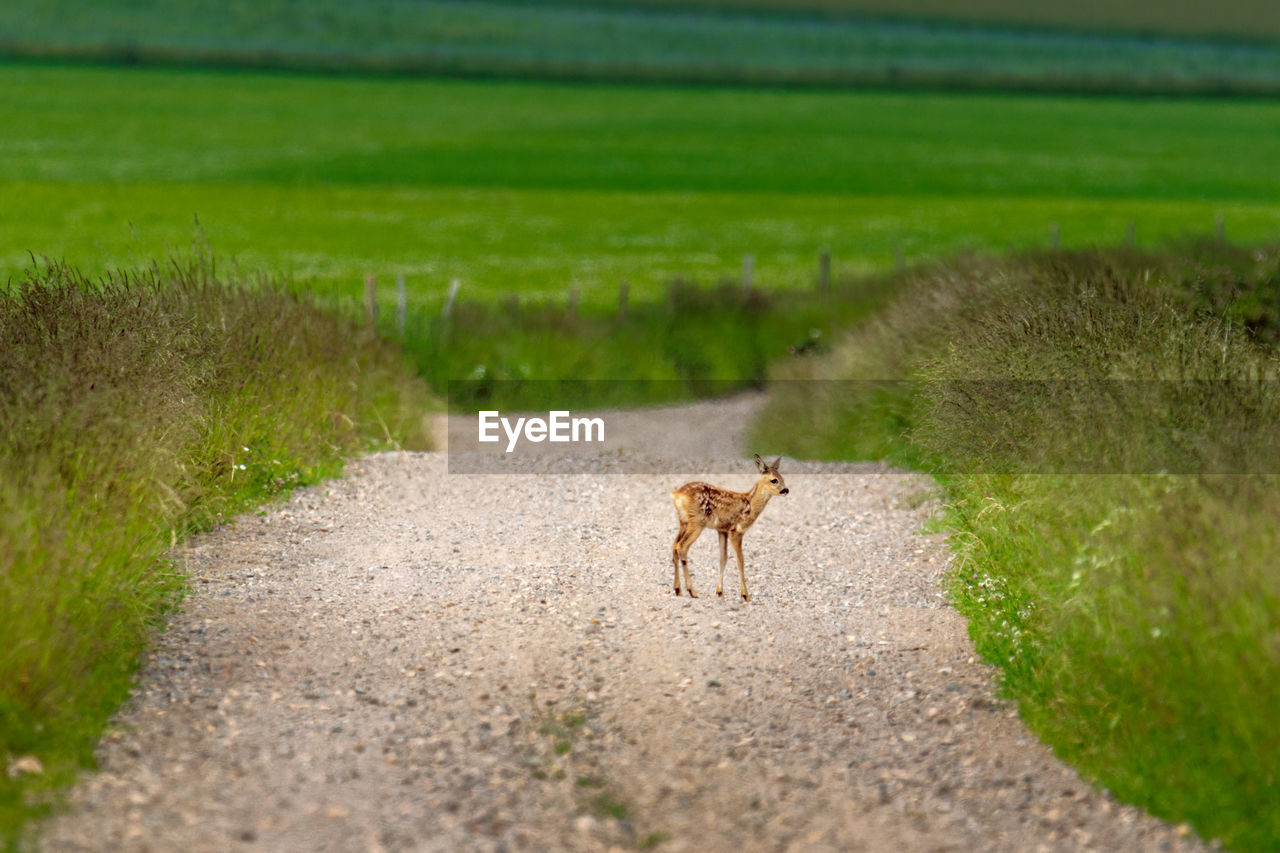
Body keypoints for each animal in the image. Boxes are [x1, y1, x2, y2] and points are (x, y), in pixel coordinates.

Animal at [675, 450, 783, 596]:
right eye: (774, 480)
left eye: (783, 478)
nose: (786, 490)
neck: (750, 504)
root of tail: (677, 495)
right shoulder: (736, 530)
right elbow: (740, 559)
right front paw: (745, 595)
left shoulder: (722, 530)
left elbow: (723, 558)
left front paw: (720, 591)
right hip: (696, 522)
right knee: (682, 546)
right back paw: (691, 591)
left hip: (683, 522)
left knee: (674, 546)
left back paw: (677, 589)